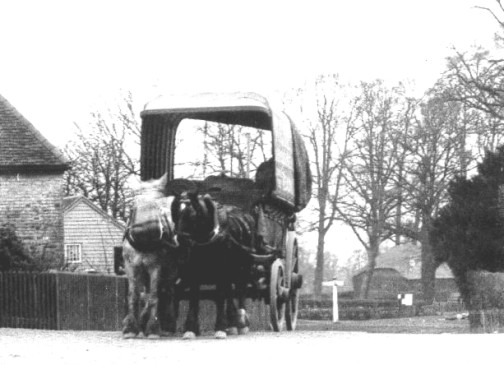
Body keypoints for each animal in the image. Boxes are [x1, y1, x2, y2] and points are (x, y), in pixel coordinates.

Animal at [121, 173, 178, 338]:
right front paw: (131, 327)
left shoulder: (155, 267)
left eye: (158, 204)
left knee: (166, 292)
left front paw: (152, 327)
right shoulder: (131, 266)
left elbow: (153, 297)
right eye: (135, 204)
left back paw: (166, 325)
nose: (147, 229)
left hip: (170, 270)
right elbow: (133, 296)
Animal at [172, 191, 258, 338]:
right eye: (175, 214)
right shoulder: (193, 272)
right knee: (230, 293)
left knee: (241, 290)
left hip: (244, 268)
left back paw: (241, 322)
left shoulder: (222, 272)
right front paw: (190, 329)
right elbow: (194, 298)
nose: (179, 242)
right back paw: (233, 323)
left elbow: (220, 297)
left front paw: (220, 328)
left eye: (192, 215)